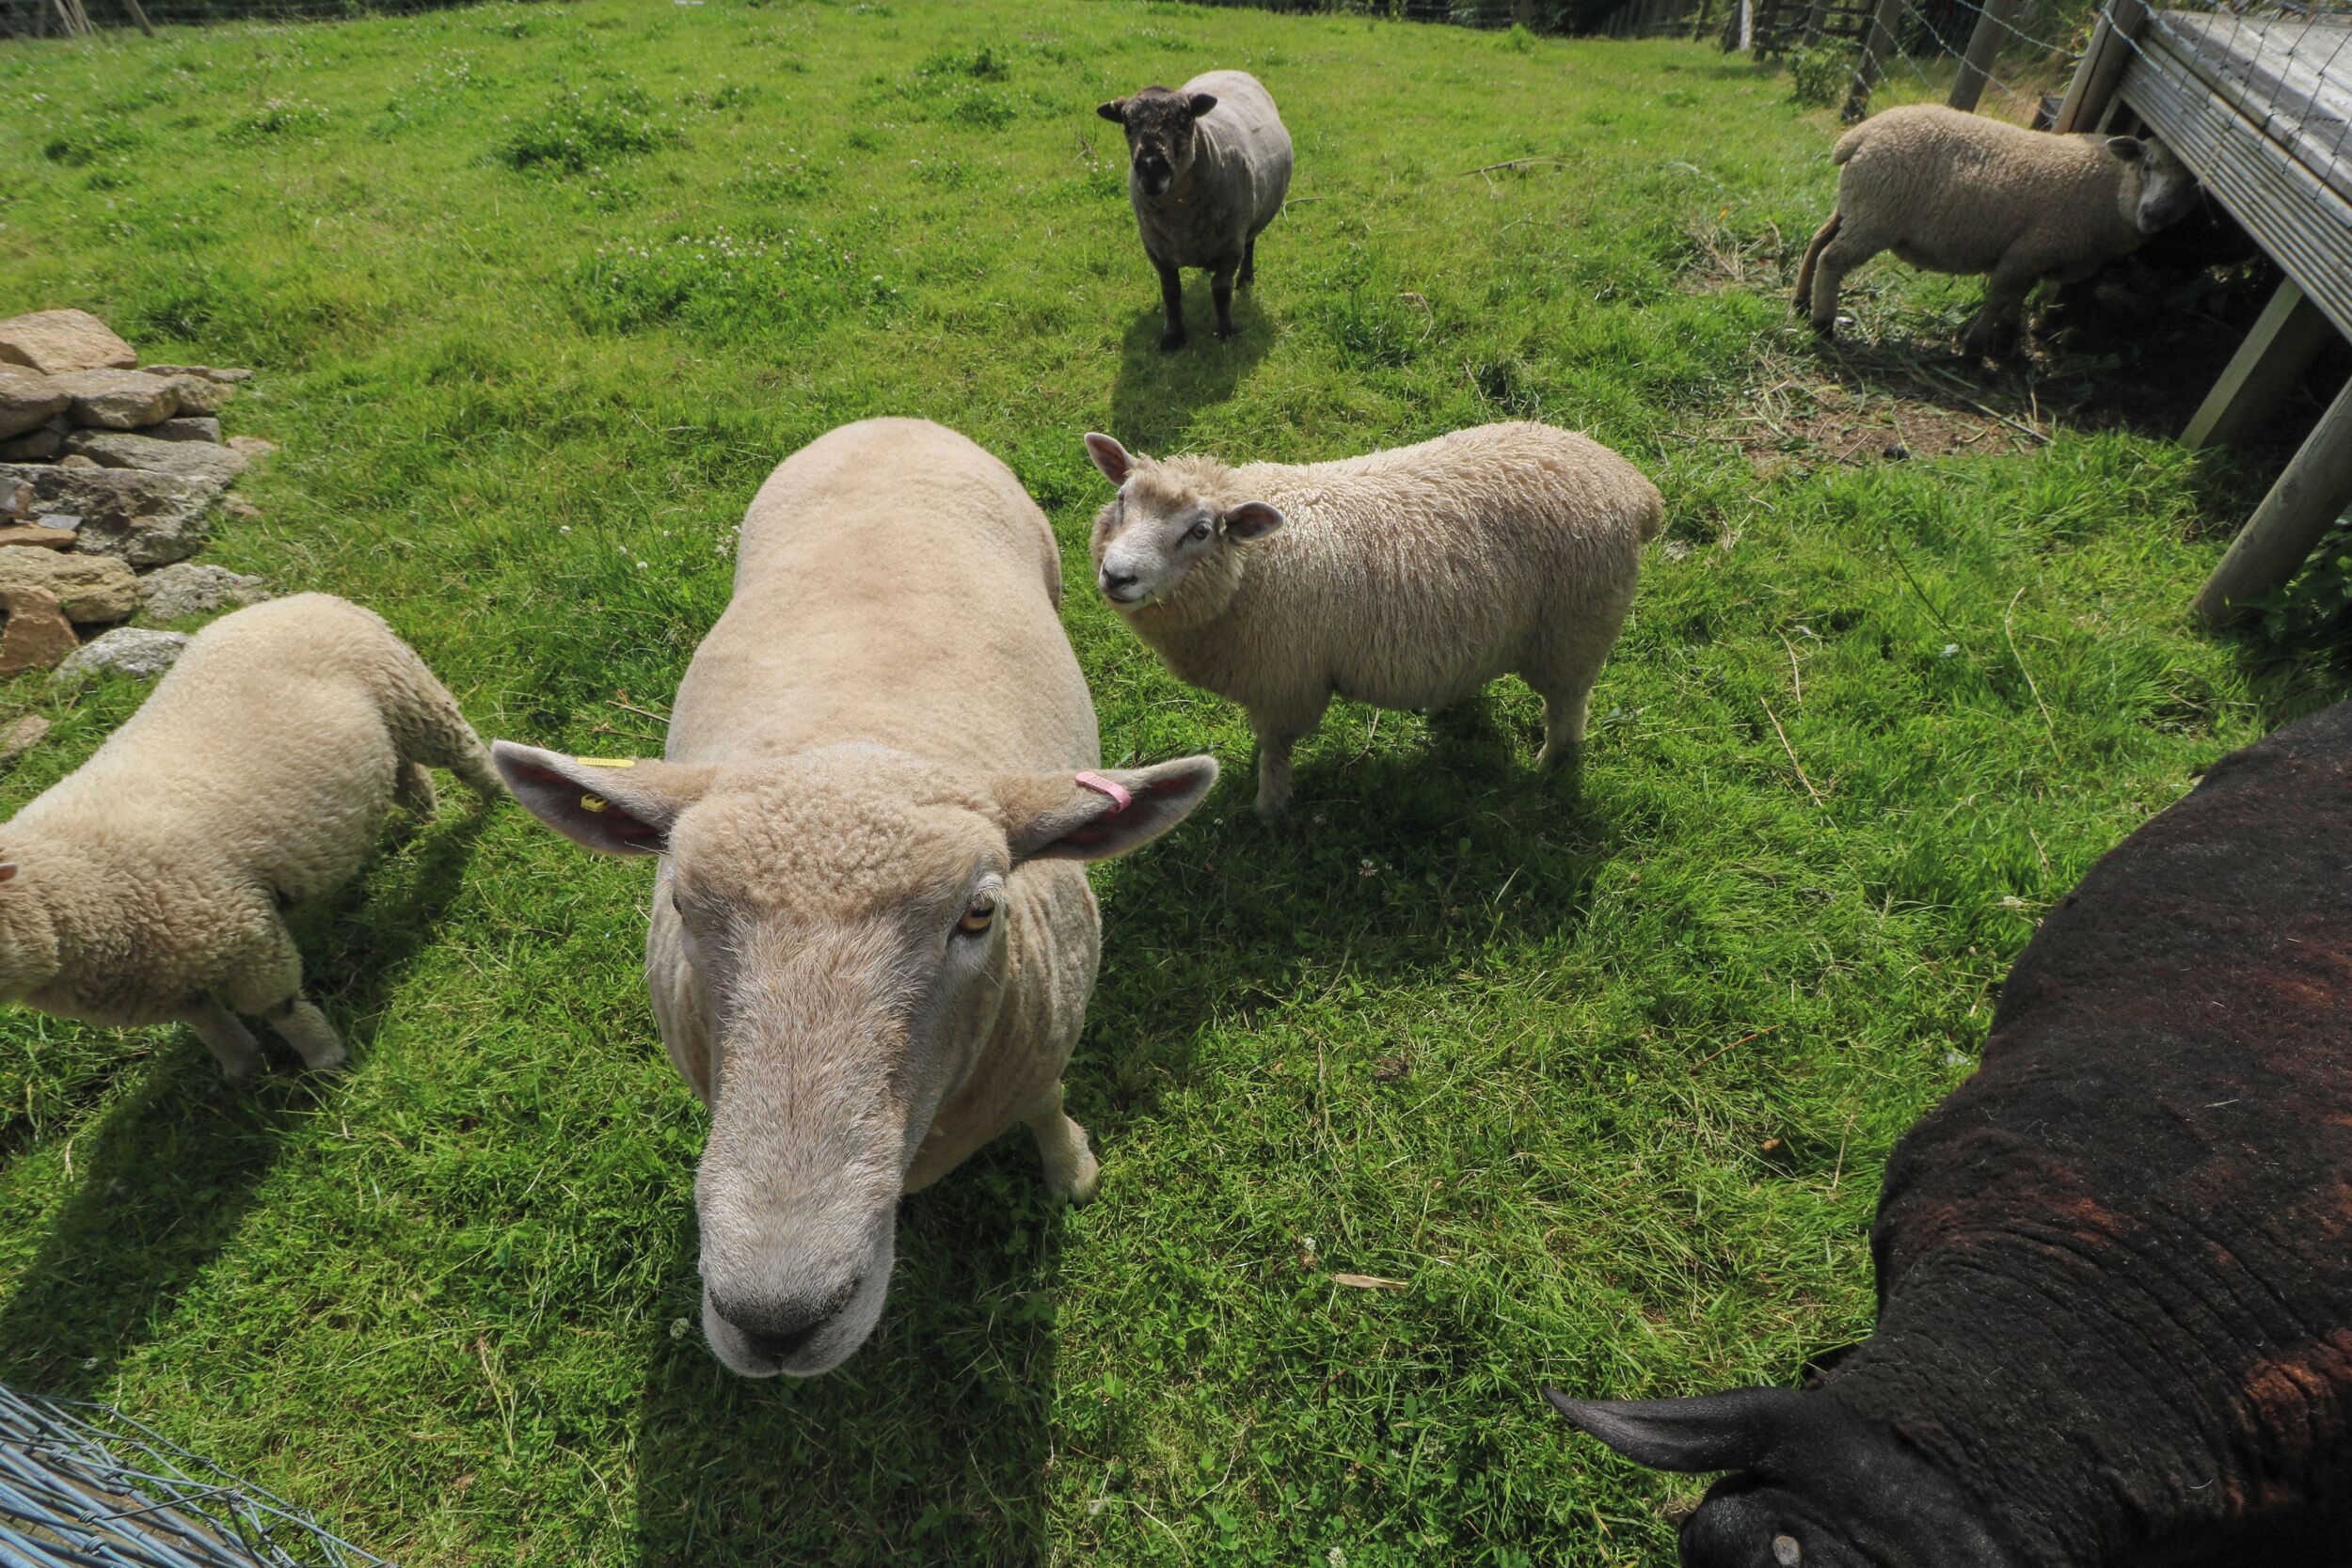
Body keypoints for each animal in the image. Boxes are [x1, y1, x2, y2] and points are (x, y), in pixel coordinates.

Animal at [0, 593, 500, 1079]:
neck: (73, 885)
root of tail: (295, 598)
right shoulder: (166, 982)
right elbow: (209, 1024)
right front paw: (239, 1071)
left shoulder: (244, 932)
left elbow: (279, 1008)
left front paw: (324, 1061)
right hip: (385, 732)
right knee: (407, 777)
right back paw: (427, 819)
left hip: (413, 699)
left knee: (465, 755)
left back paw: (496, 799)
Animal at [494, 418, 1217, 1379]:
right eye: (681, 905)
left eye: (979, 912)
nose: (774, 1315)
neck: (858, 732)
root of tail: (895, 421)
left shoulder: (1044, 1040)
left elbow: (1045, 1101)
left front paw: (1072, 1171)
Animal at [1082, 422, 1662, 817]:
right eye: (1121, 498)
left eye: (1200, 531)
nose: (1117, 576)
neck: (1254, 567)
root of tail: (1634, 487)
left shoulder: (1286, 681)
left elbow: (1276, 750)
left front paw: (1269, 806)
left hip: (1576, 632)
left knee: (1567, 710)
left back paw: (1547, 770)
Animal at [1097, 70, 1292, 351]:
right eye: (1127, 124)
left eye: (1184, 119)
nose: (1151, 167)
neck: (1179, 217)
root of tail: (1229, 70)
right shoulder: (1155, 249)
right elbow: (1171, 292)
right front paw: (1173, 337)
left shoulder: (1231, 246)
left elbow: (1220, 290)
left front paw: (1226, 331)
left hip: (1252, 218)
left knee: (1251, 243)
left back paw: (1246, 279)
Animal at [1793, 103, 2199, 358]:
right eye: (2148, 166)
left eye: (2194, 188)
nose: (2154, 214)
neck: (2113, 191)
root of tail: (1862, 134)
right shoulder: (2031, 248)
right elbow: (2000, 295)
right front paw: (1975, 346)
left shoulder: (2037, 254)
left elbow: (2018, 296)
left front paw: (2007, 339)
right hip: (1877, 215)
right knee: (1832, 258)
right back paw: (1823, 324)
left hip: (1857, 205)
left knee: (1818, 241)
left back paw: (1801, 301)